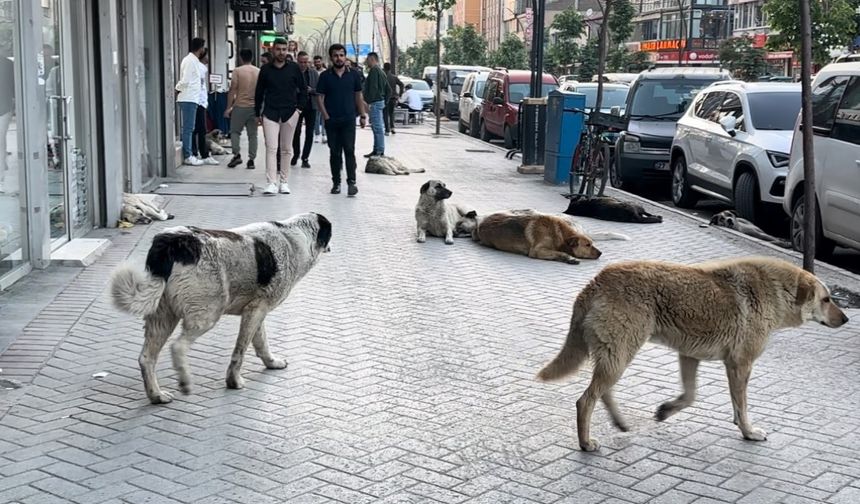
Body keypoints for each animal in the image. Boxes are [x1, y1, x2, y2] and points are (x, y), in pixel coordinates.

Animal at [109, 211, 330, 404]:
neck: (294, 237)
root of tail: (172, 242)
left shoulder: (255, 310)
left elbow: (261, 342)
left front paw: (271, 362)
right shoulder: (257, 310)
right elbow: (240, 351)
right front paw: (233, 381)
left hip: (163, 316)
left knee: (146, 358)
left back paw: (156, 395)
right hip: (207, 314)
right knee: (178, 346)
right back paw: (185, 382)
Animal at [536, 258, 848, 450]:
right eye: (826, 299)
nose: (846, 319)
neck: (777, 290)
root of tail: (596, 281)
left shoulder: (690, 356)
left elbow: (690, 396)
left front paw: (666, 410)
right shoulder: (740, 365)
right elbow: (741, 407)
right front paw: (748, 432)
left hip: (617, 356)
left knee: (602, 392)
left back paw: (619, 422)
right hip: (621, 354)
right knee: (585, 400)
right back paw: (585, 442)